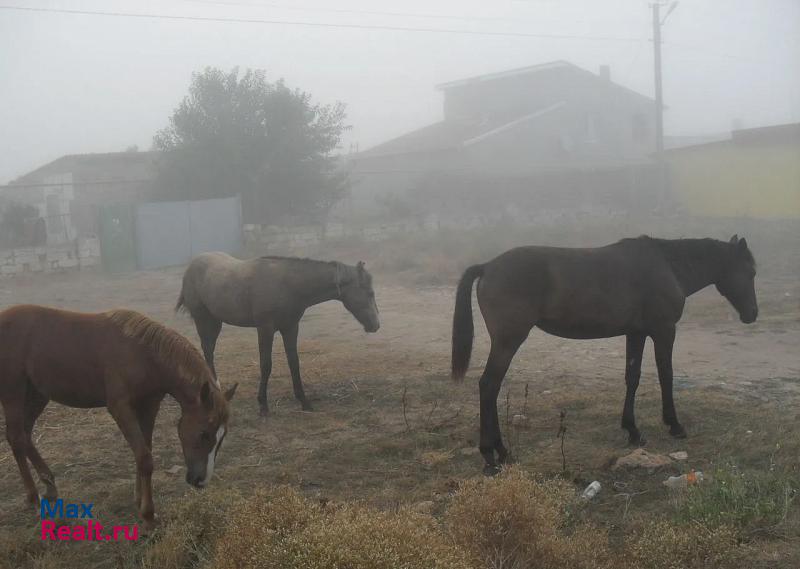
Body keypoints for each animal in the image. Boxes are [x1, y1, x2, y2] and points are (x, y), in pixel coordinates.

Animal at [0, 306, 238, 528]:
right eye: (203, 433)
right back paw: (33, 497)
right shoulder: (120, 407)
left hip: (37, 394)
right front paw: (148, 515)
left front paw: (139, 499)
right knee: (16, 437)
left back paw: (49, 486)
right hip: (13, 391)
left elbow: (144, 451)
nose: (200, 480)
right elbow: (144, 457)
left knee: (25, 435)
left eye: (222, 436)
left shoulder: (148, 405)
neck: (144, 355)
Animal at [176, 252, 382, 412]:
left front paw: (304, 402)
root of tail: (191, 266)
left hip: (215, 321)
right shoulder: (265, 329)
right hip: (203, 320)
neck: (287, 285)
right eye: (370, 293)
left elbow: (294, 363)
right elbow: (266, 365)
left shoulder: (290, 328)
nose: (376, 325)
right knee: (208, 350)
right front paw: (263, 405)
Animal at [454, 233, 760, 472]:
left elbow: (632, 377)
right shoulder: (664, 331)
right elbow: (666, 375)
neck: (668, 266)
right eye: (751, 272)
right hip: (508, 341)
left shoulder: (636, 333)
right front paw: (674, 425)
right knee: (489, 385)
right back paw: (492, 454)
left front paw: (633, 430)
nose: (753, 314)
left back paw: (499, 452)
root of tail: (488, 267)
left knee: (491, 387)